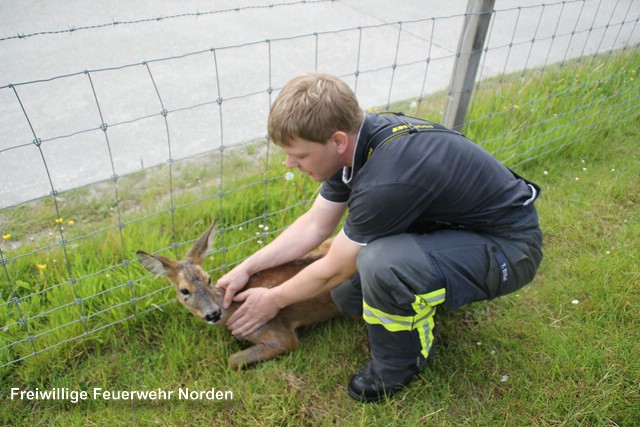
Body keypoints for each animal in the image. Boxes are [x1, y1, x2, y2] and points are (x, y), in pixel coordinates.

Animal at [138, 222, 342, 370]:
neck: (232, 311)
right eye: (184, 290)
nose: (213, 313)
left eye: (208, 279)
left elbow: (233, 359)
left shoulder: (280, 336)